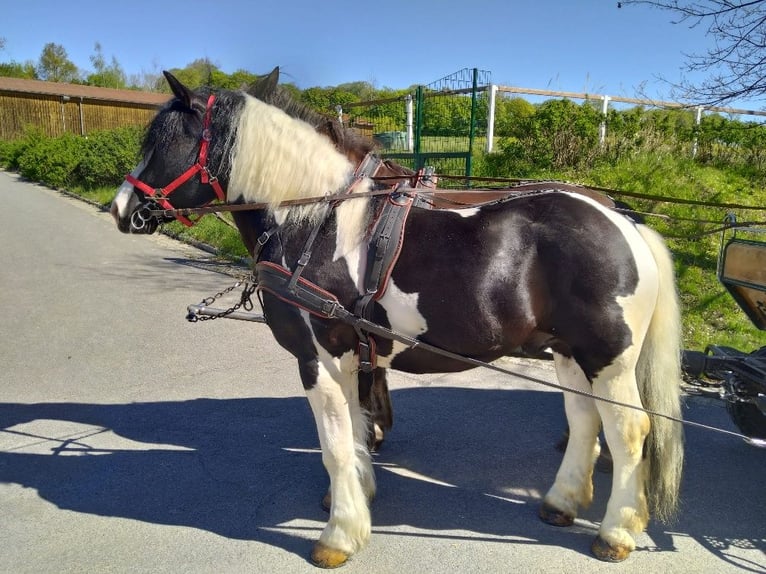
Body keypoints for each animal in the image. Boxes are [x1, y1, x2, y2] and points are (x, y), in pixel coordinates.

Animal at [110, 68, 684, 567]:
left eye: (165, 142)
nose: (121, 208)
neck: (313, 219)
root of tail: (623, 220)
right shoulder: (349, 357)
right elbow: (354, 432)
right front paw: (356, 498)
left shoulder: (317, 358)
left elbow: (334, 445)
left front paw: (339, 535)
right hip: (568, 351)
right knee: (586, 420)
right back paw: (562, 502)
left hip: (607, 358)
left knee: (629, 430)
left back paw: (616, 531)